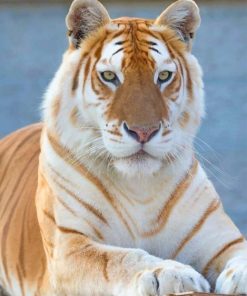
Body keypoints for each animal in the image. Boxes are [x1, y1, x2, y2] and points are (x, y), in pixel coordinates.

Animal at [0, 0, 247, 294]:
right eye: (109, 76)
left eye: (164, 76)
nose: (144, 131)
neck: (138, 187)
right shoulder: (70, 247)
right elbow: (120, 258)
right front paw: (171, 273)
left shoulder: (222, 239)